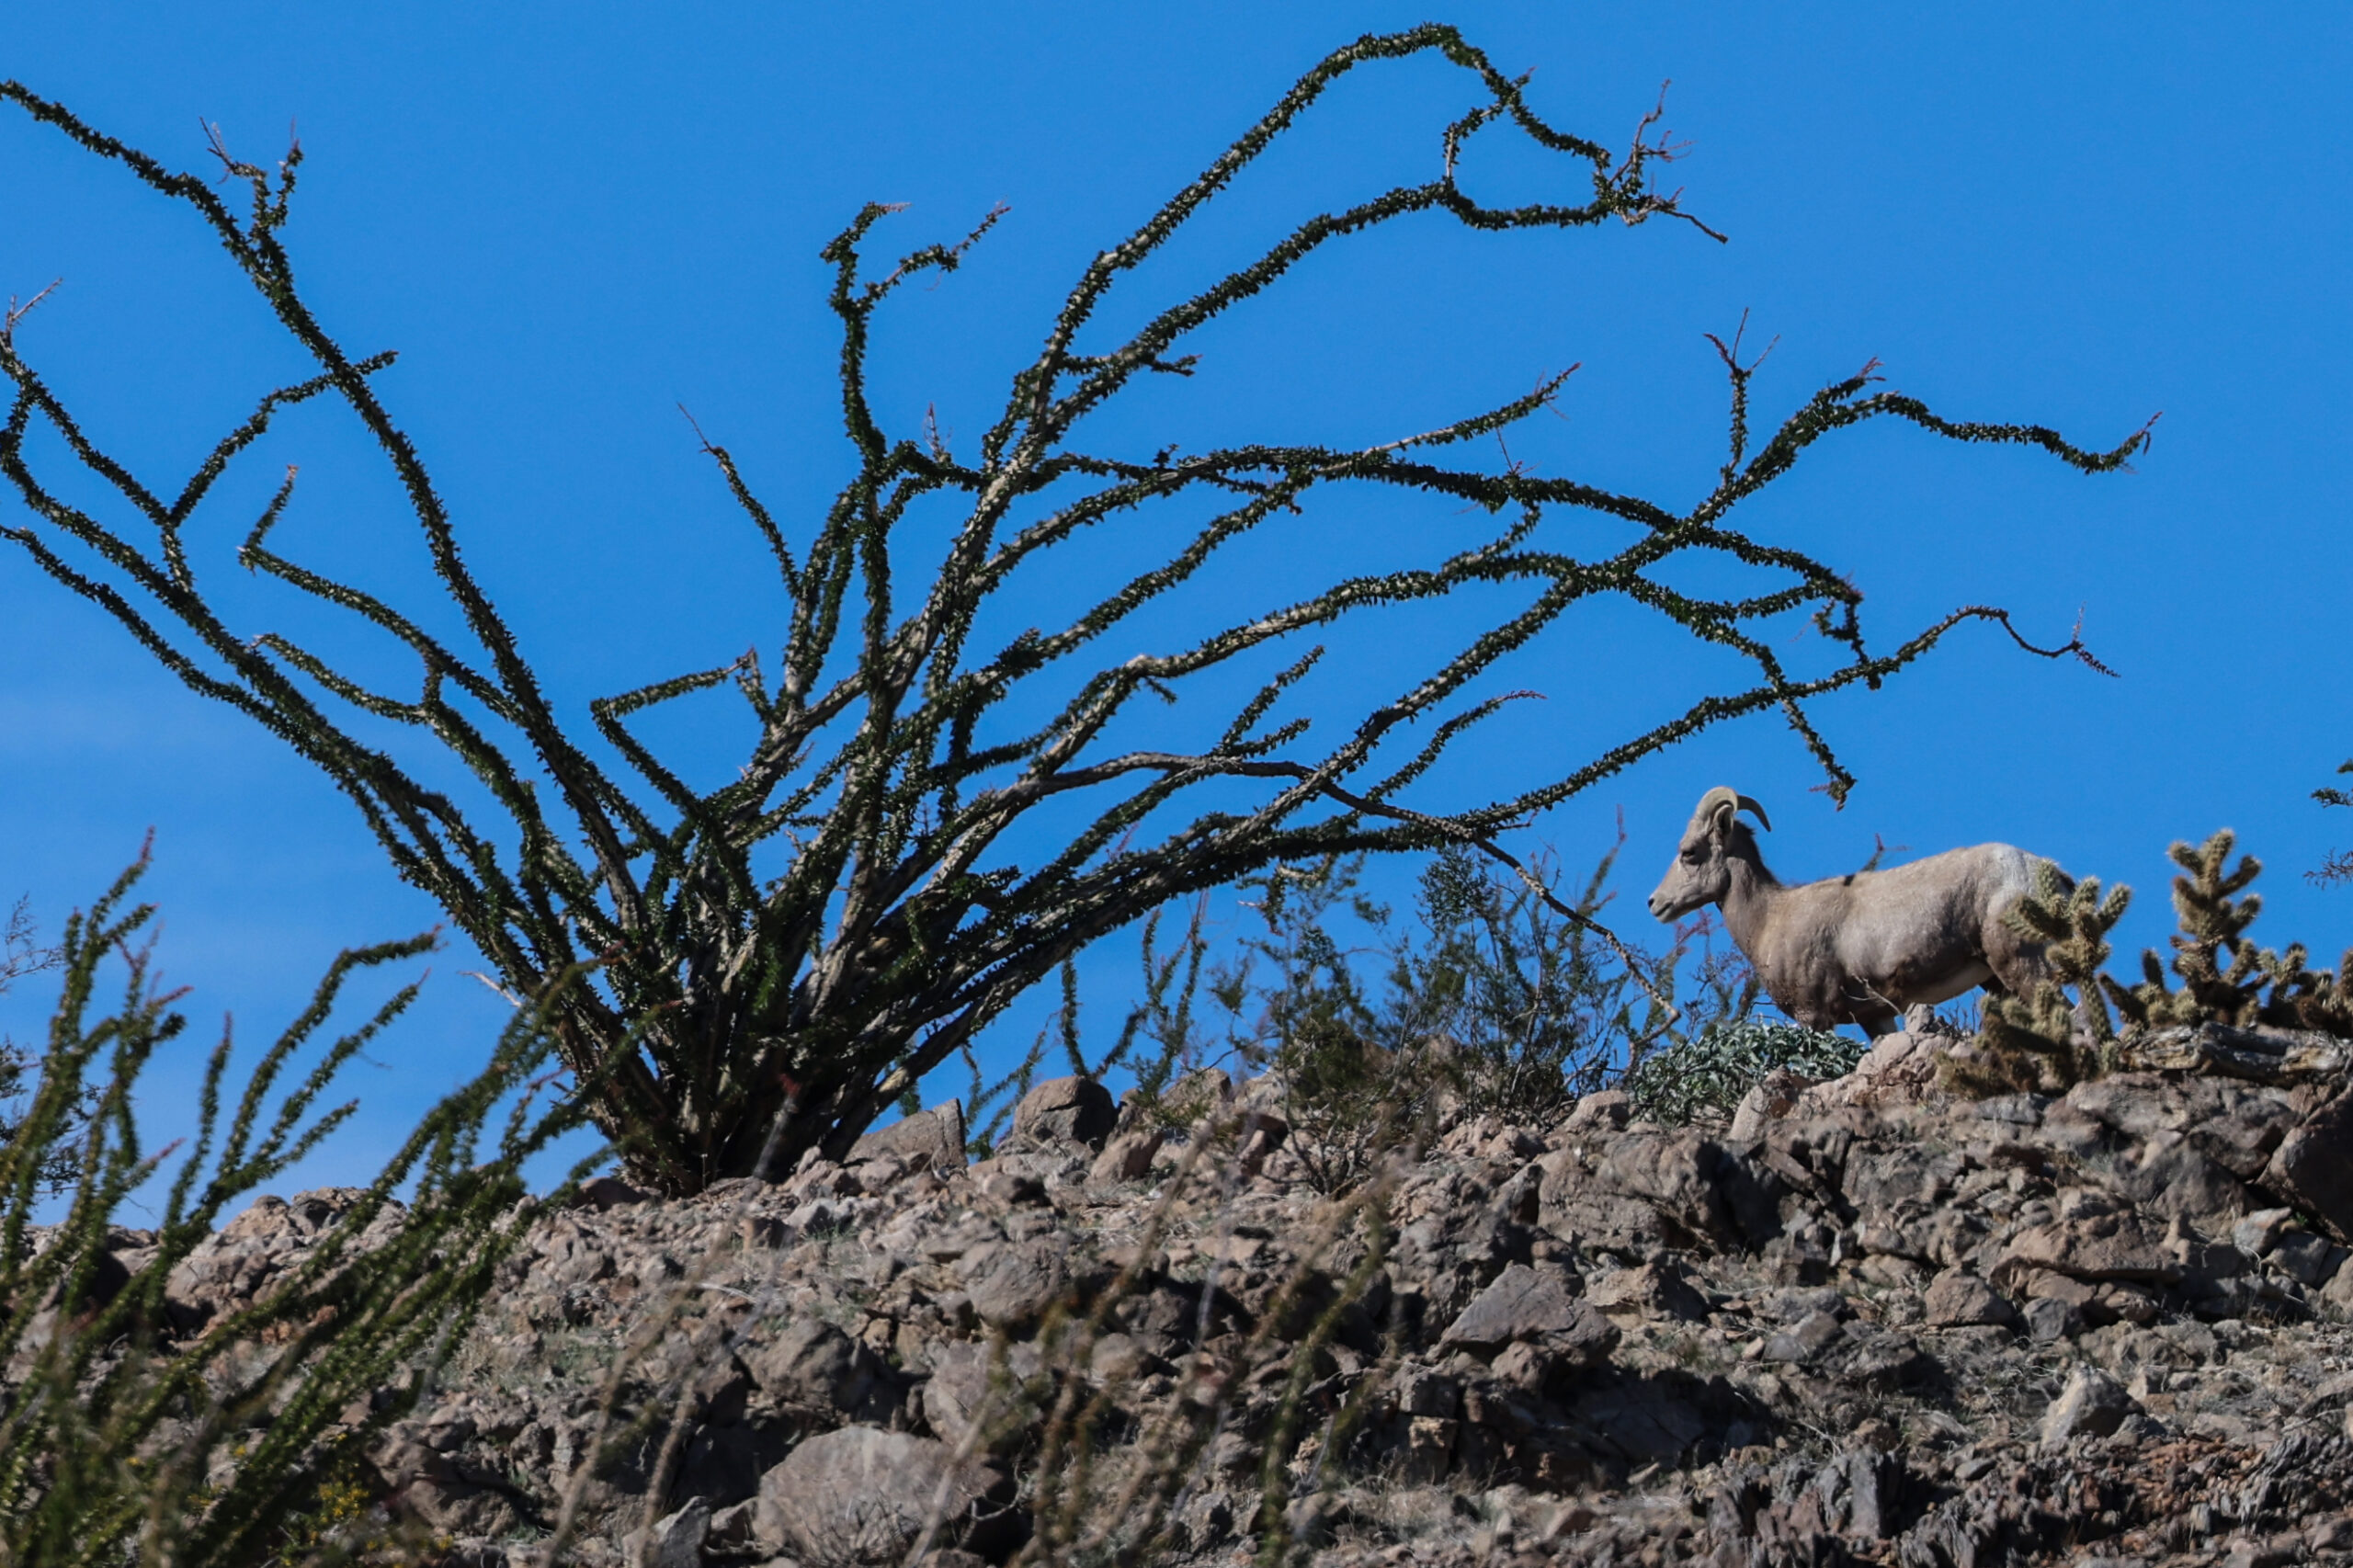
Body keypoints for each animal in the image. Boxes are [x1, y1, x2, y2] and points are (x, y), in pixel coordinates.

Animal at [1646, 786, 2065, 1036]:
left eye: (1689, 852)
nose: (1654, 903)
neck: (1769, 919)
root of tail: (2045, 872)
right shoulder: (1874, 1017)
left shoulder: (1814, 1017)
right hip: (1996, 980)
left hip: (2021, 966)